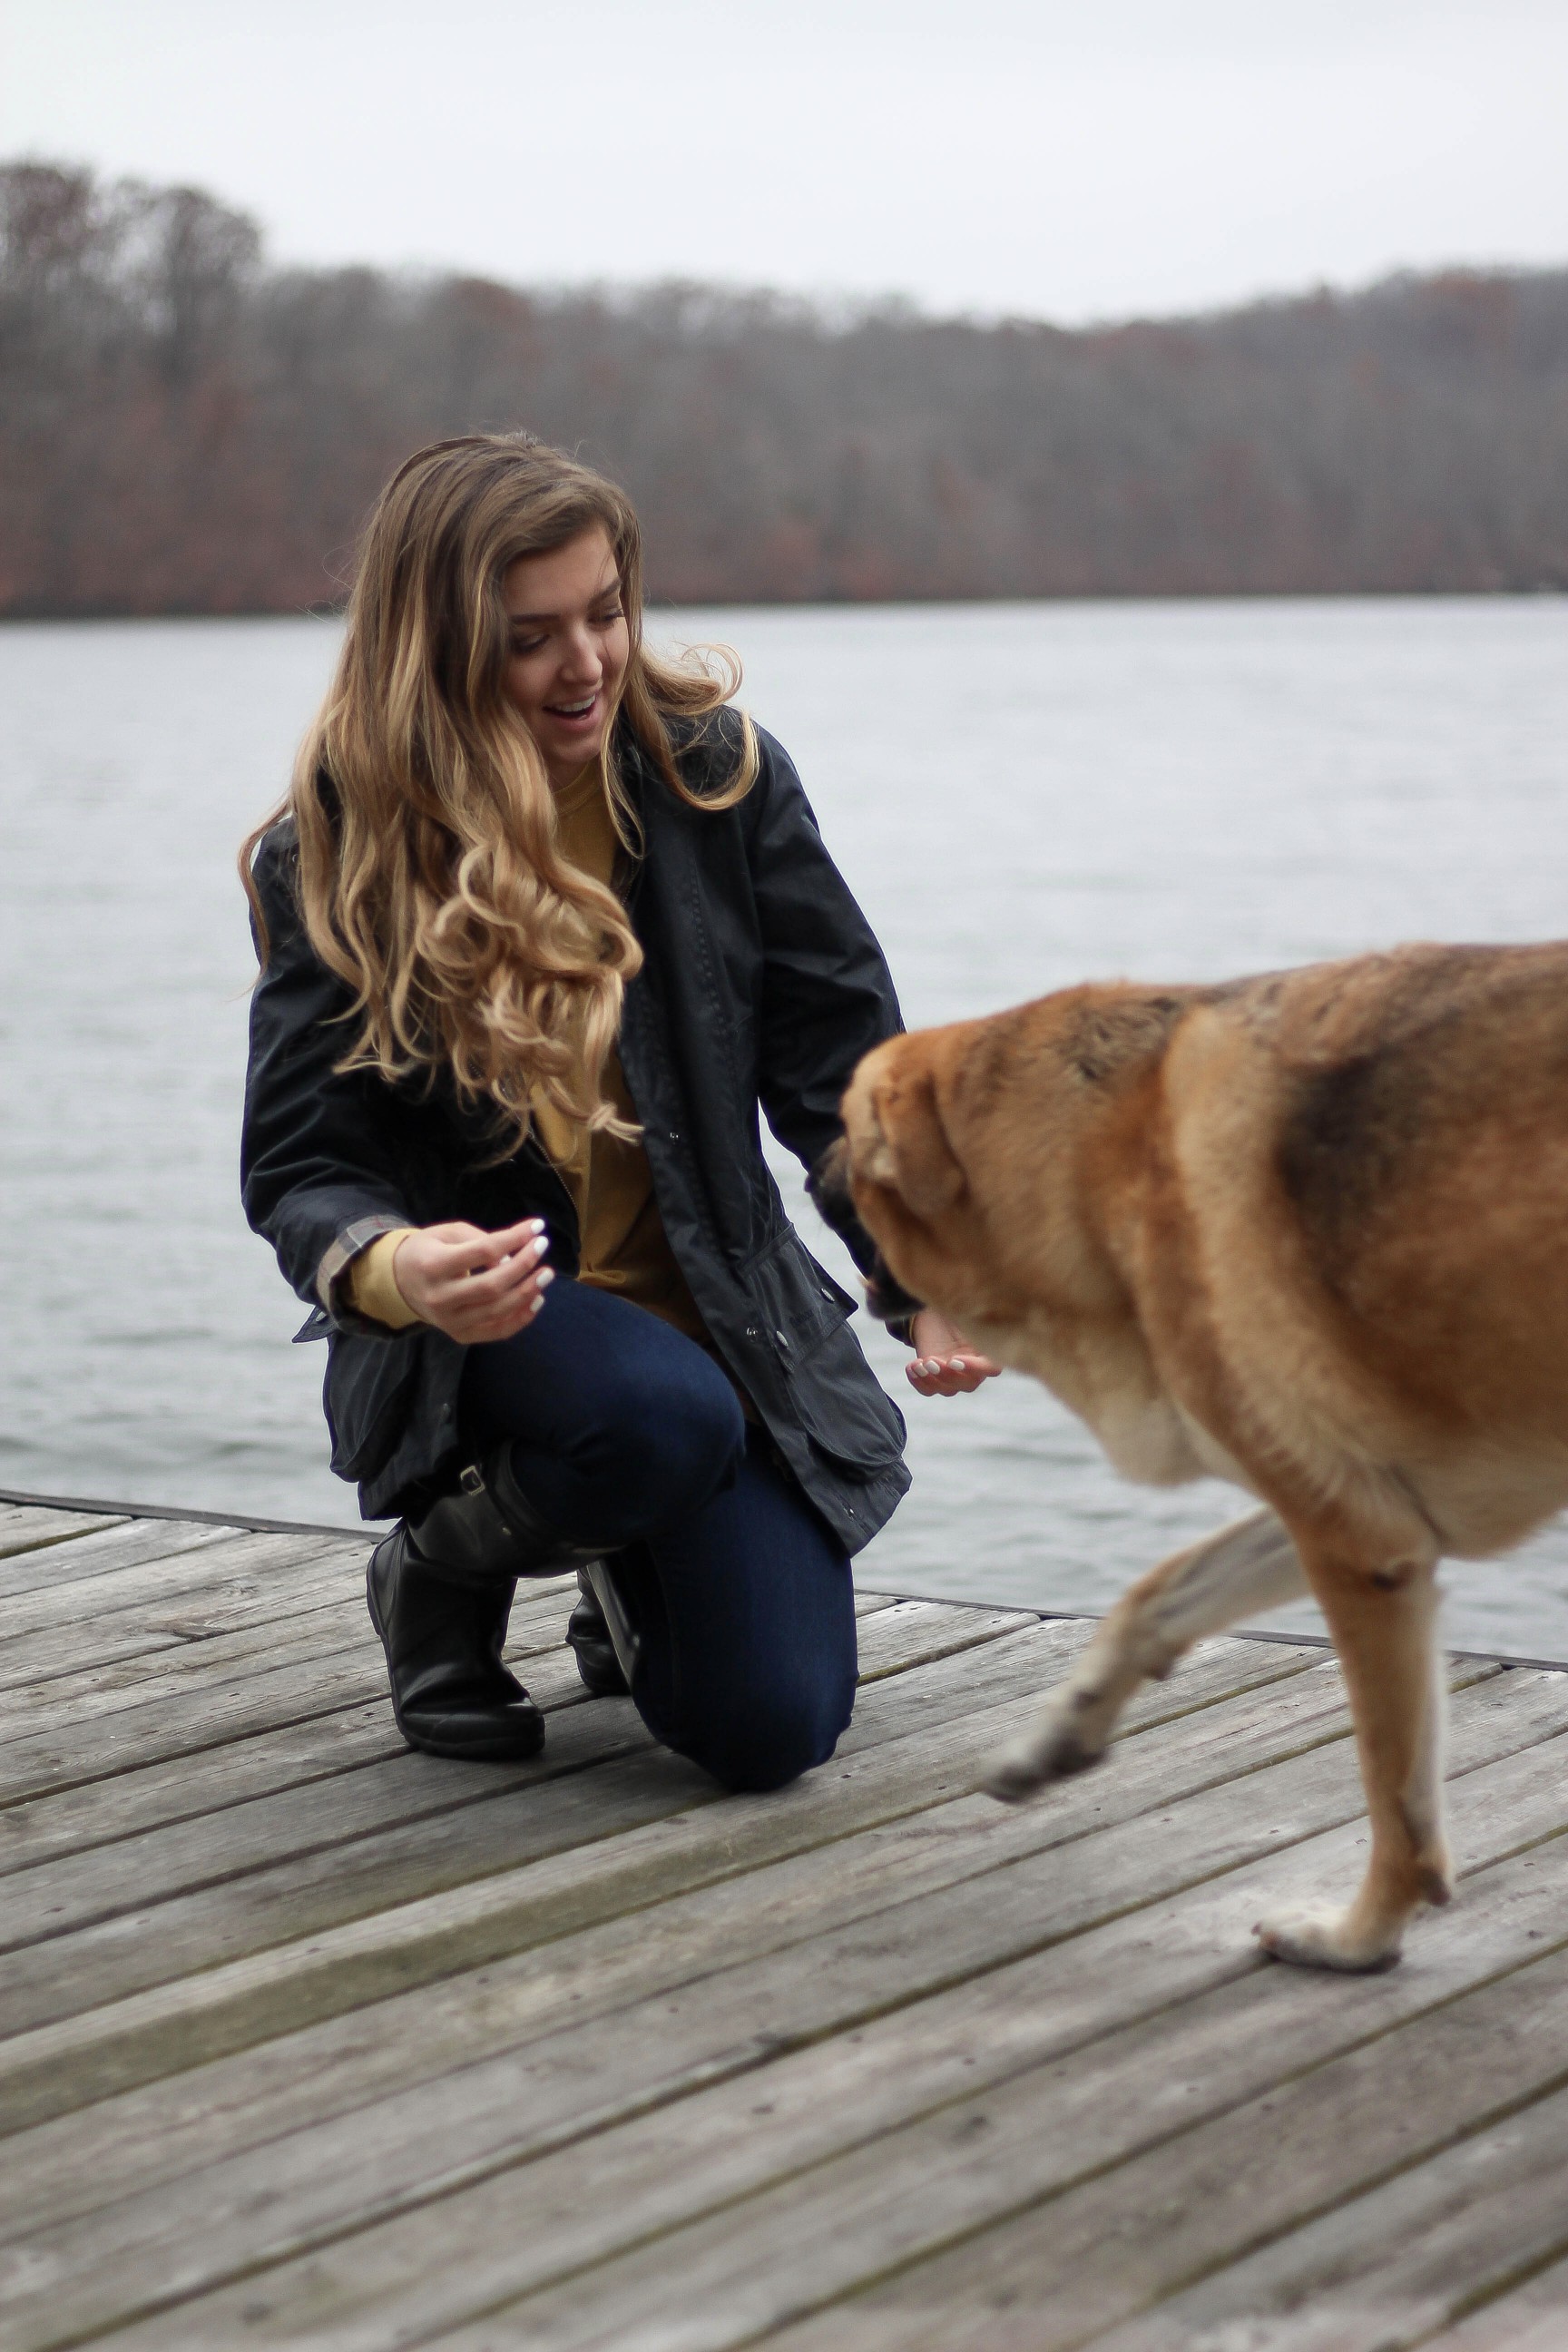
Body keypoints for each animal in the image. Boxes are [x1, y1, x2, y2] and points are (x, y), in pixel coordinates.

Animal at [827, 936, 1561, 1965]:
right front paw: (1056, 1739)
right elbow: (1157, 1595)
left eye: (849, 1129)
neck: (1100, 1154)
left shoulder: (1356, 1546)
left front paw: (1359, 1938)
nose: (807, 1176)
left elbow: (1394, 1793)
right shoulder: (1357, 1513)